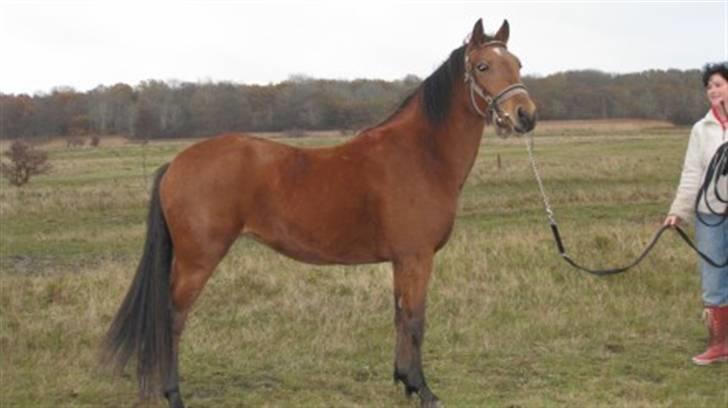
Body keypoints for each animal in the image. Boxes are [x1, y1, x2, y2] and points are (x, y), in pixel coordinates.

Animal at [102, 18, 537, 408]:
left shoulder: (401, 260)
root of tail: (176, 163)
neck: (420, 154)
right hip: (198, 260)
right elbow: (416, 321)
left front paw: (404, 381)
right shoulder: (417, 257)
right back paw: (173, 395)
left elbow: (399, 317)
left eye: (518, 63)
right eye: (483, 67)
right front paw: (424, 391)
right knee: (174, 318)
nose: (525, 115)